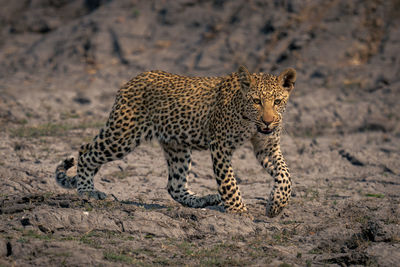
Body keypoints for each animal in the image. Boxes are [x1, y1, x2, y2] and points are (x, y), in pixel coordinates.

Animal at [54, 65, 296, 218]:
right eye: (256, 101)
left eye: (277, 101)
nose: (268, 121)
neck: (250, 123)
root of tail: (131, 81)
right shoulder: (220, 146)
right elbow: (228, 181)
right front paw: (238, 210)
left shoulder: (267, 147)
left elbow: (286, 175)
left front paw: (276, 205)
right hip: (123, 135)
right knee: (86, 151)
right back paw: (87, 191)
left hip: (176, 145)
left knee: (174, 185)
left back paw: (202, 200)